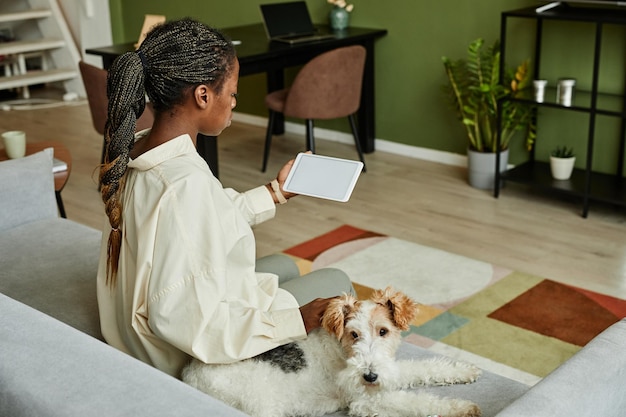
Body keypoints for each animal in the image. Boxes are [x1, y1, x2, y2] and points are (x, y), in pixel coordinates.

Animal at [180, 286, 478, 416]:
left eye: (383, 331)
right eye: (353, 334)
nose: (369, 377)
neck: (341, 352)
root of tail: (188, 375)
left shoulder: (387, 374)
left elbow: (422, 368)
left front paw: (466, 371)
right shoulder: (363, 399)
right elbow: (418, 403)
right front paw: (464, 407)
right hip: (261, 407)